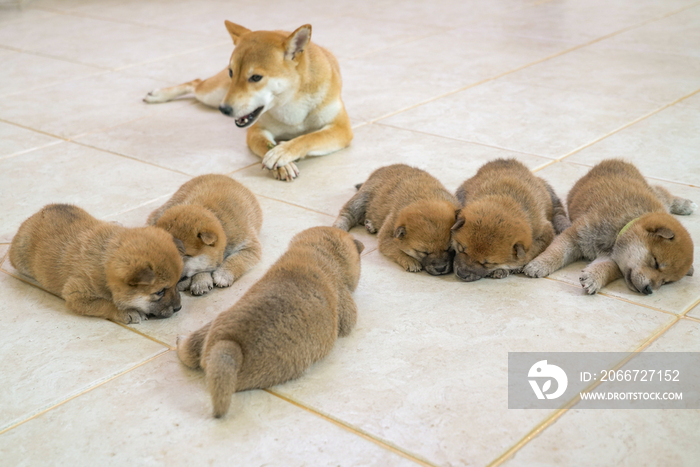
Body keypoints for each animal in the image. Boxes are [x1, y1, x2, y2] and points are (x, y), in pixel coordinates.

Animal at [9, 205, 183, 326]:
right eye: (159, 292)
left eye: (177, 283)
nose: (178, 309)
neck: (104, 261)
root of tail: (37, 214)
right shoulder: (77, 295)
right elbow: (105, 304)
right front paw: (128, 311)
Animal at [144, 22, 350, 183]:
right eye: (232, 72)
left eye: (256, 77)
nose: (224, 110)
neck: (291, 101)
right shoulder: (256, 130)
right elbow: (265, 145)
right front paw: (282, 164)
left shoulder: (341, 129)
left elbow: (309, 138)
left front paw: (283, 151)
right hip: (212, 95)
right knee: (195, 83)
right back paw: (158, 95)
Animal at [175, 225, 364, 418]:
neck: (315, 252)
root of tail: (228, 341)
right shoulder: (346, 305)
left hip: (207, 329)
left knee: (188, 352)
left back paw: (180, 340)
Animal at [524, 159, 696, 294]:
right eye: (655, 263)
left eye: (665, 281)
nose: (649, 291)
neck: (622, 227)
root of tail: (616, 160)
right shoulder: (575, 235)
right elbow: (556, 252)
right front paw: (538, 265)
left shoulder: (615, 259)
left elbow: (607, 268)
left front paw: (594, 278)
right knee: (662, 190)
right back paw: (686, 204)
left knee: (662, 192)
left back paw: (685, 204)